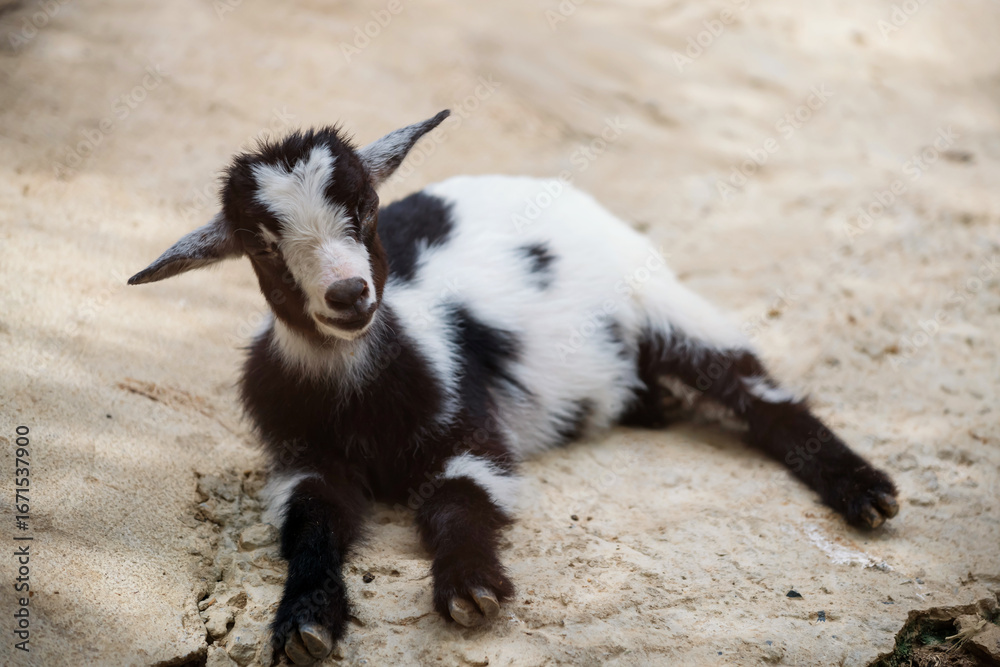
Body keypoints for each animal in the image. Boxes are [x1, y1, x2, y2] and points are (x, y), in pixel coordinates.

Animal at [129, 110, 899, 664]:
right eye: (262, 245)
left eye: (368, 210)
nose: (349, 296)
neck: (358, 392)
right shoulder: (301, 460)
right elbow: (311, 526)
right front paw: (305, 621)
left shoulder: (471, 431)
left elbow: (459, 498)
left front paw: (469, 587)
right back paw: (656, 404)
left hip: (663, 299)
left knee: (759, 394)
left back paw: (864, 492)